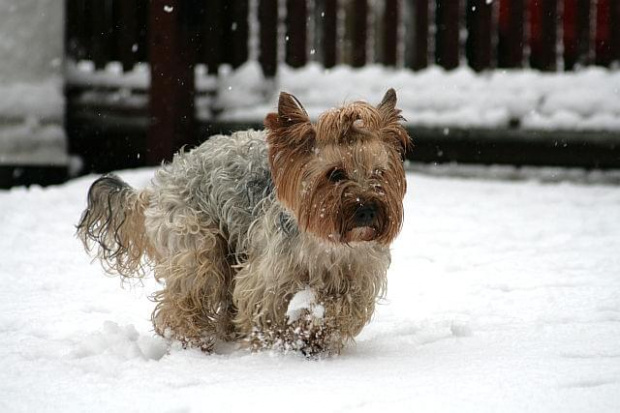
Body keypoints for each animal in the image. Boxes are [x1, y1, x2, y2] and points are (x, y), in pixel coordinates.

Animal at [77, 89, 412, 354]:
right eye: (335, 174)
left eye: (379, 172)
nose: (367, 210)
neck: (327, 242)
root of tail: (165, 176)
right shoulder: (267, 277)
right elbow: (265, 312)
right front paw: (280, 347)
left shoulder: (359, 276)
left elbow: (343, 309)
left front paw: (313, 334)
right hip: (197, 241)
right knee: (186, 296)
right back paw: (196, 344)